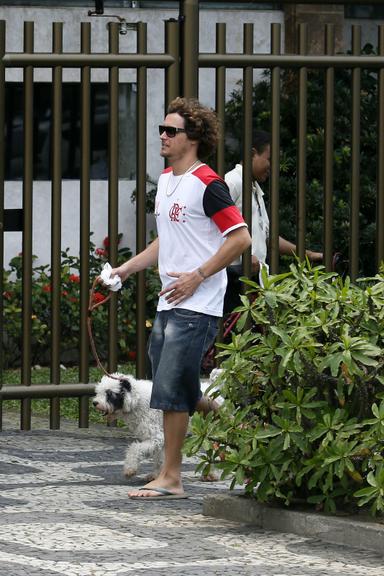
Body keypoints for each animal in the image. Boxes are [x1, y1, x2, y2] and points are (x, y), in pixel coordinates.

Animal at [93, 372, 224, 480]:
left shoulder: (157, 437)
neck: (137, 401)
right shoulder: (160, 440)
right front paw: (156, 475)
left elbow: (135, 449)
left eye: (109, 393)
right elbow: (159, 459)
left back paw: (213, 474)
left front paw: (130, 469)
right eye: (98, 392)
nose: (94, 403)